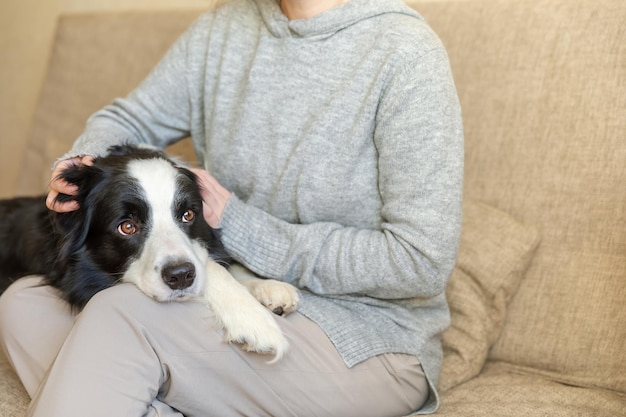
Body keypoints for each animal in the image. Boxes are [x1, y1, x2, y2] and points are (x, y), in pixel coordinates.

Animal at [0, 145, 296, 360]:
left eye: (188, 215)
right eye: (127, 226)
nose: (180, 276)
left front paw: (269, 287)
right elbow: (210, 266)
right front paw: (254, 320)